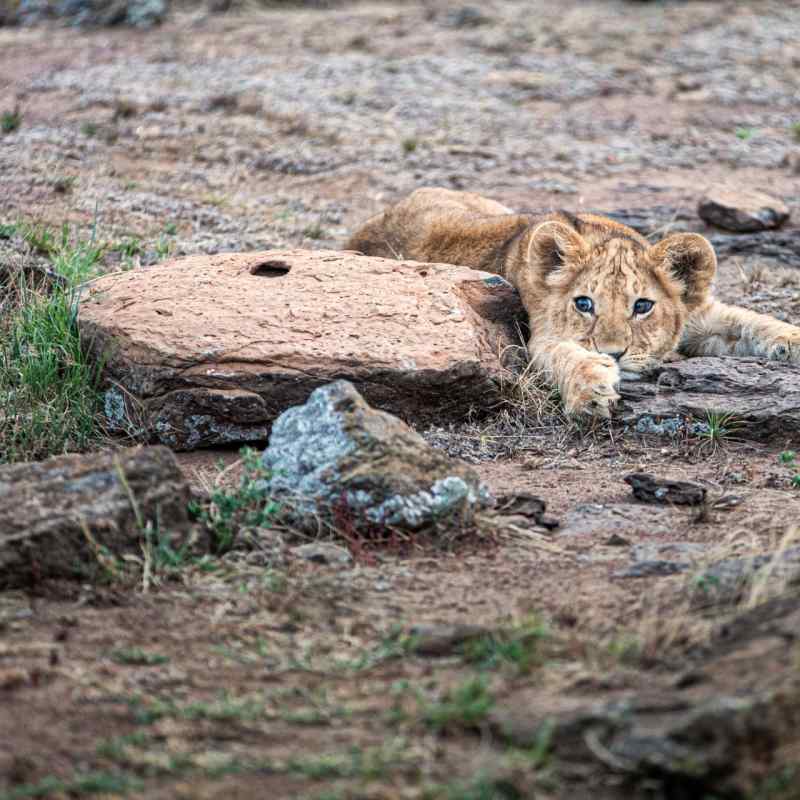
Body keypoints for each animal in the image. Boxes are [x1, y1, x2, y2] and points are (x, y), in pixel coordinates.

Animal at [346, 187, 800, 417]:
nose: (614, 354)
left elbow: (749, 320)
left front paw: (792, 339)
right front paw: (592, 391)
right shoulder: (536, 338)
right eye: (584, 304)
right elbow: (567, 356)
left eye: (642, 306)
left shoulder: (699, 315)